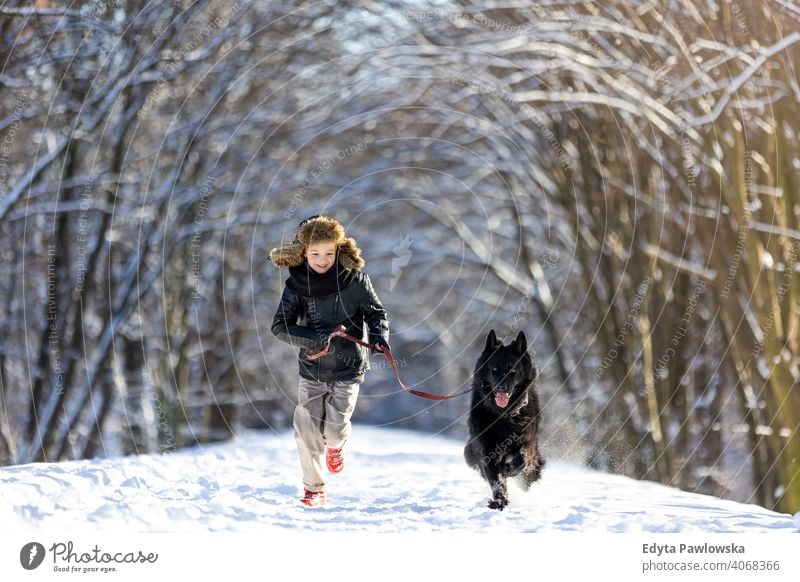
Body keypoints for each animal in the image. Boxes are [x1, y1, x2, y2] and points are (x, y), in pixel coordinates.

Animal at [462, 330, 544, 512]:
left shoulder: (527, 441)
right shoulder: (488, 451)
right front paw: (499, 502)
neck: (504, 415)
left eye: (513, 370)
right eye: (494, 369)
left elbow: (521, 458)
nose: (501, 387)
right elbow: (497, 480)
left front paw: (509, 469)